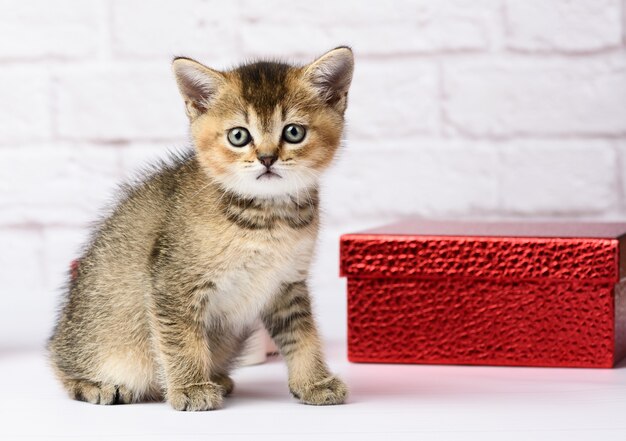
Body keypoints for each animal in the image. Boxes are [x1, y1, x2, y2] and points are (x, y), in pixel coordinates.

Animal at [47, 46, 352, 410]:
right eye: (239, 136)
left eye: (294, 132)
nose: (266, 158)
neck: (267, 218)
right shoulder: (172, 281)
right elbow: (180, 339)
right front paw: (191, 387)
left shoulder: (288, 284)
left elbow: (302, 335)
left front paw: (314, 382)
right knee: (62, 366)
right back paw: (95, 385)